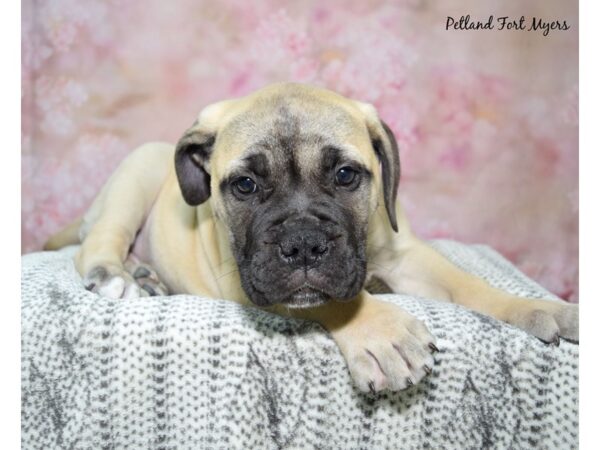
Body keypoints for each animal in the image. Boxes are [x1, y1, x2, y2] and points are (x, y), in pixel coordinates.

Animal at [44, 82, 580, 392]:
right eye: (244, 185)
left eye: (346, 176)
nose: (302, 245)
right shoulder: (246, 279)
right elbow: (330, 300)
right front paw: (380, 331)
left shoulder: (405, 253)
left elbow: (470, 284)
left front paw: (539, 307)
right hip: (137, 173)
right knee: (96, 243)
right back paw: (119, 275)